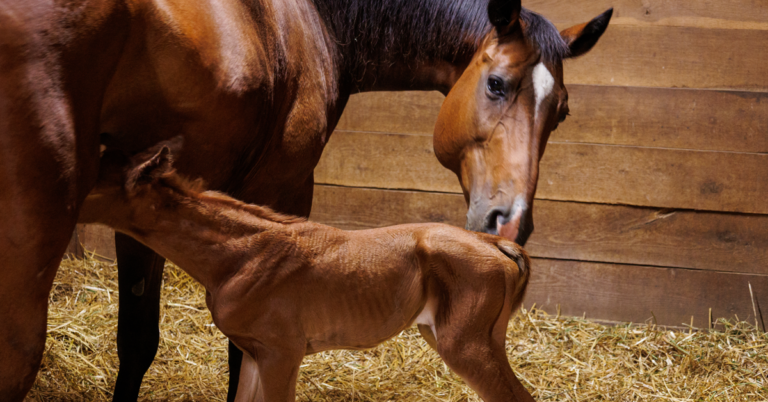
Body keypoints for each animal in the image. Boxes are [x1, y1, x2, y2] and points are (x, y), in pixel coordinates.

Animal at [81, 143, 534, 402]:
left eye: (93, 185)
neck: (242, 255)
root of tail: (494, 243)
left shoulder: (283, 353)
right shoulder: (255, 353)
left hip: (465, 345)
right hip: (463, 336)